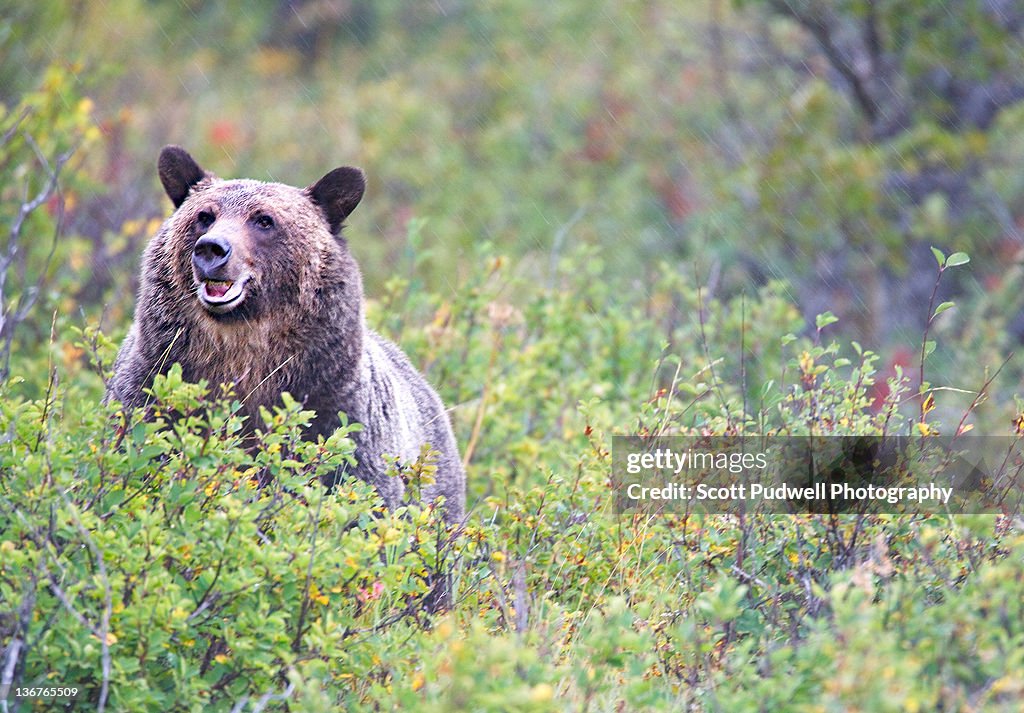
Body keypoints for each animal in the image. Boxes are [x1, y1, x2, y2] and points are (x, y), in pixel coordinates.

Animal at [105, 146, 466, 524]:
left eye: (264, 220)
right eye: (204, 215)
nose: (211, 249)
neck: (243, 352)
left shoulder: (340, 415)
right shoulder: (153, 389)